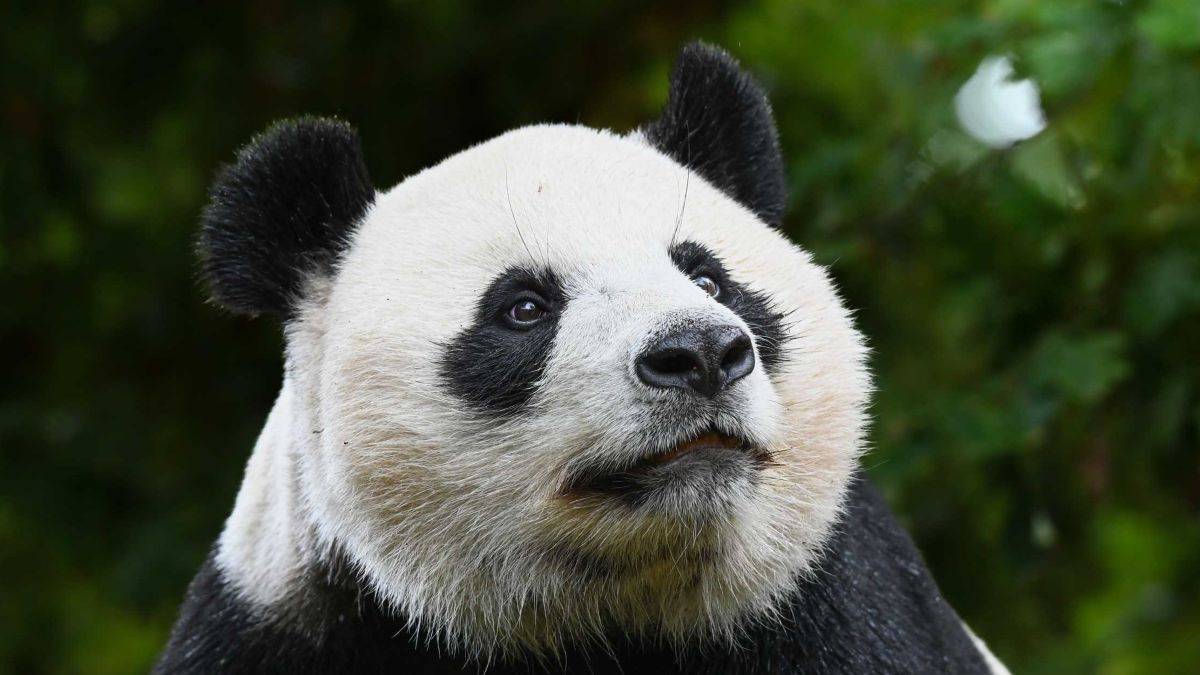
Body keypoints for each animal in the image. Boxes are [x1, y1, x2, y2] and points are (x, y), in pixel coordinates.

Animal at [155, 43, 1009, 674]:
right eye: (524, 307)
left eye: (708, 278)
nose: (701, 354)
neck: (608, 608)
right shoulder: (288, 621)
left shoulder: (833, 595)